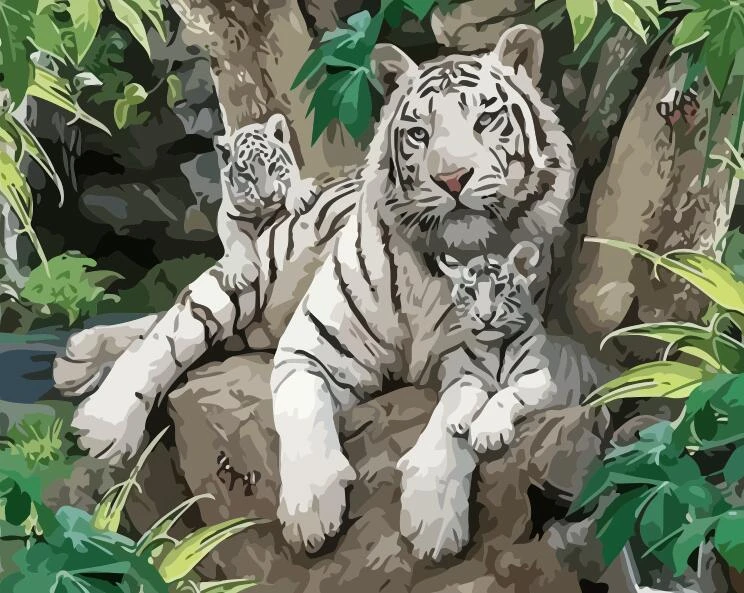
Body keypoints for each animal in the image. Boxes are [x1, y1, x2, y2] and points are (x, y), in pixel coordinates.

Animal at [269, 25, 577, 559]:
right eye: (419, 133)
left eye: (486, 119)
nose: (452, 179)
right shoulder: (308, 349)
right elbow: (301, 409)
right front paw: (310, 511)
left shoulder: (471, 357)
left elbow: (450, 421)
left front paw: (433, 520)